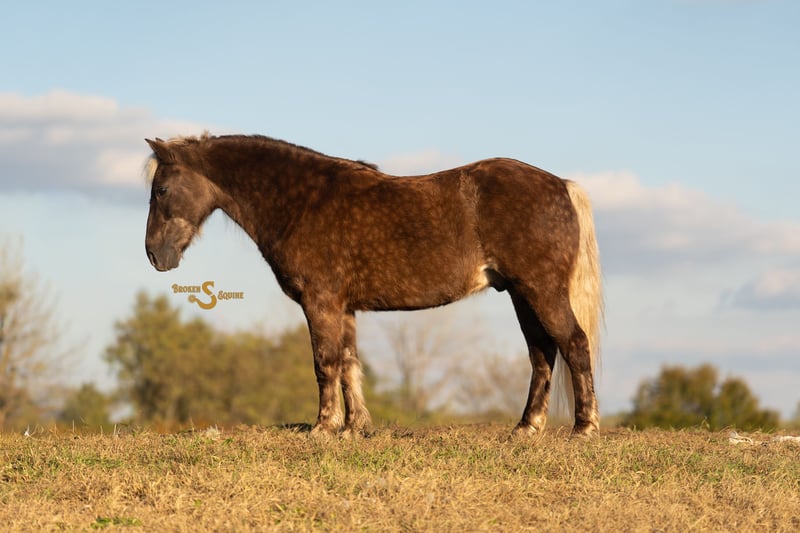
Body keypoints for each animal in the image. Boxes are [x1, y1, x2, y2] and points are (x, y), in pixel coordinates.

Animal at [143, 133, 603, 438]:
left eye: (161, 189)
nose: (153, 255)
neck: (302, 201)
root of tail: (562, 185)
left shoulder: (321, 301)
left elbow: (325, 362)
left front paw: (323, 428)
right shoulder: (344, 307)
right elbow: (350, 362)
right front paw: (354, 427)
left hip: (541, 291)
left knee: (574, 344)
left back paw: (583, 428)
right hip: (523, 296)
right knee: (542, 353)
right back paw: (526, 427)